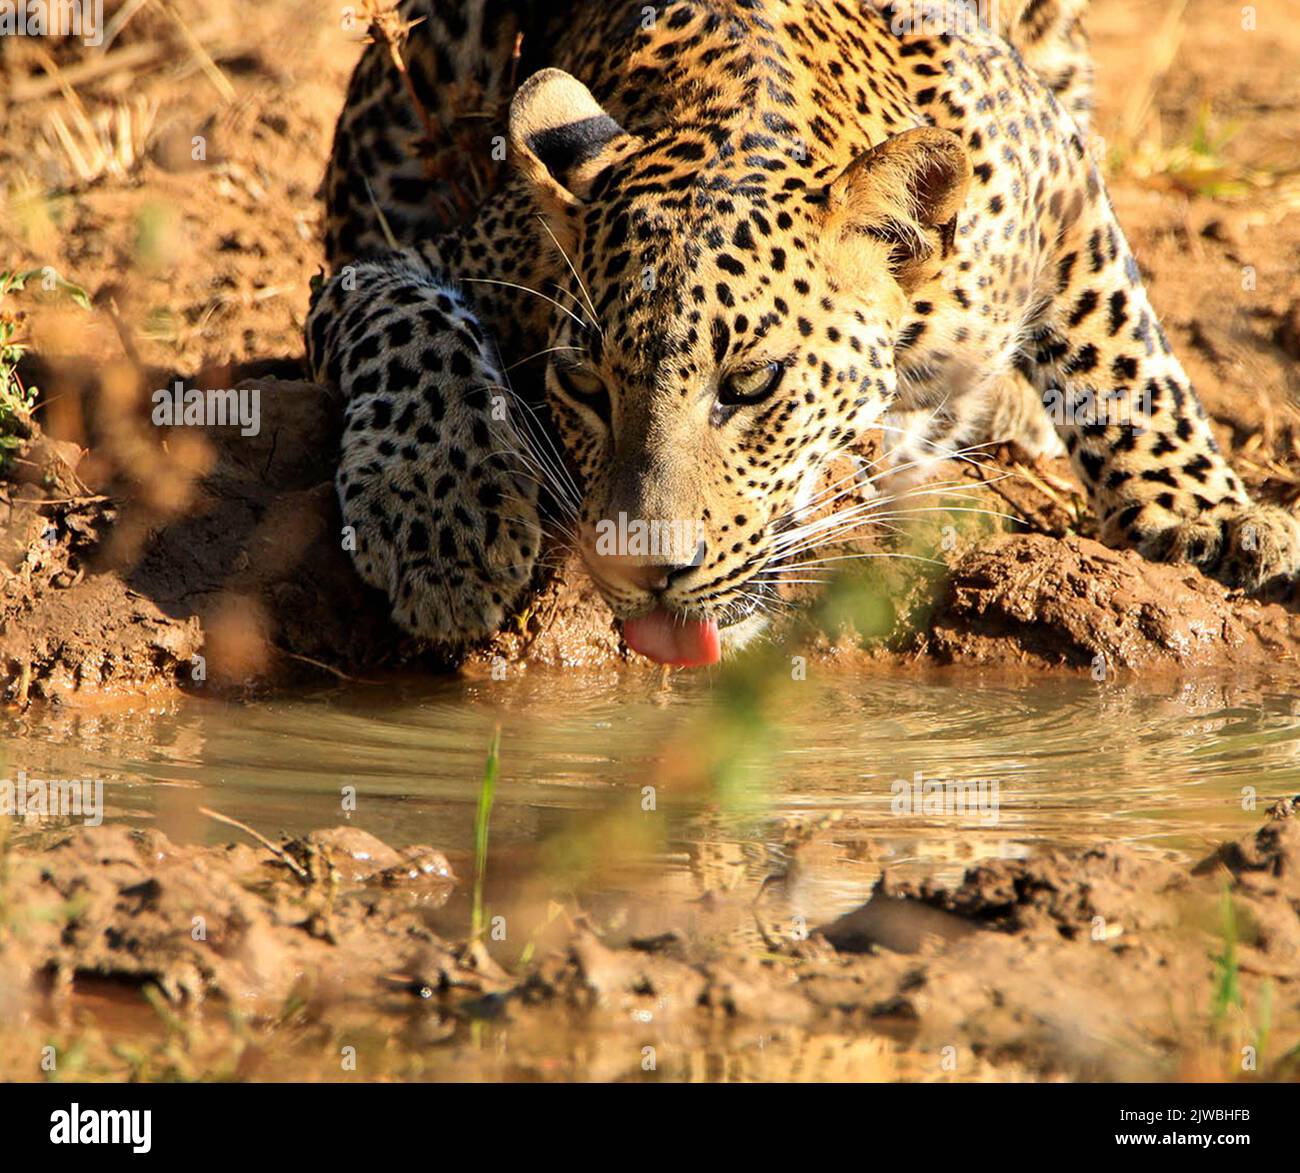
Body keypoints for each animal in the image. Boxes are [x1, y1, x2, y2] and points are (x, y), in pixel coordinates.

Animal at [306, 0, 1300, 665]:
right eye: (585, 388)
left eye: (752, 385)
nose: (641, 570)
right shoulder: (381, 269)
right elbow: (413, 333)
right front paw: (442, 520)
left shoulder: (1059, 179)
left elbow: (1124, 351)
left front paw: (1216, 517)